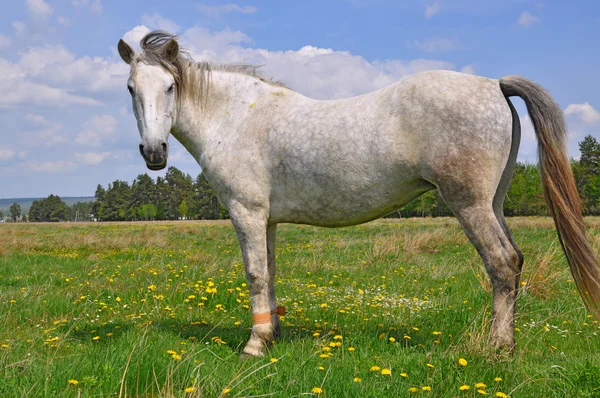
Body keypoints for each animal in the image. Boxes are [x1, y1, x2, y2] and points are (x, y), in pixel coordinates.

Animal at [117, 30, 600, 354]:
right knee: (515, 261)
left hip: (470, 205)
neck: (237, 117)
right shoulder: (268, 220)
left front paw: (255, 345)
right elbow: (270, 273)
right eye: (130, 89)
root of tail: (494, 84)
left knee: (501, 264)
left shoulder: (246, 213)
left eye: (171, 87)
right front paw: (272, 336)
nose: (154, 153)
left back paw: (498, 348)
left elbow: (254, 274)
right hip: (493, 203)